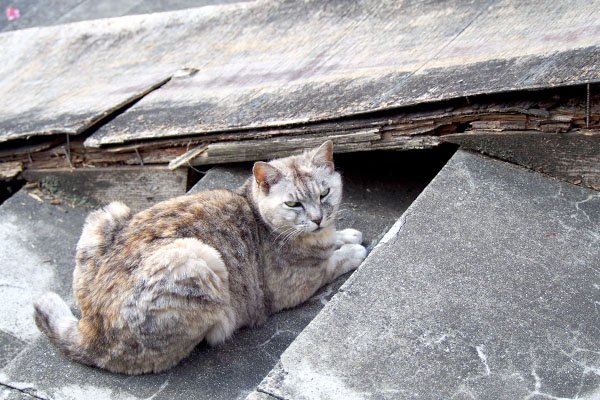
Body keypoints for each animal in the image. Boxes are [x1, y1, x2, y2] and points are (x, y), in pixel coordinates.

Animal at [35, 141, 368, 376]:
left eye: (324, 193)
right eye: (293, 204)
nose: (317, 218)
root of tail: (89, 329)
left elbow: (334, 240)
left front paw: (345, 234)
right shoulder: (296, 285)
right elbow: (331, 262)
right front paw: (352, 250)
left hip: (107, 212)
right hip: (198, 258)